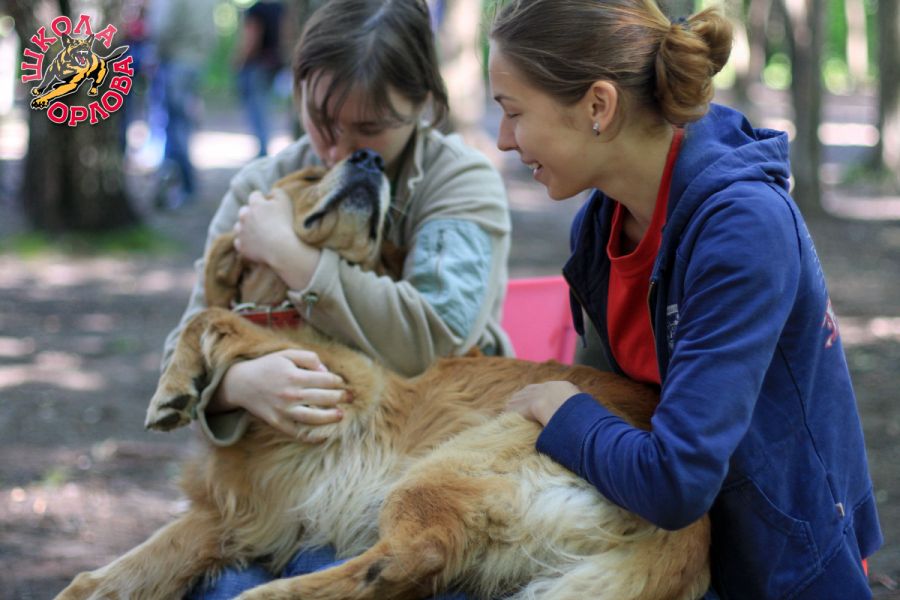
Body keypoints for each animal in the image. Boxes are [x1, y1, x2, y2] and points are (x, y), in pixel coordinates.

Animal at [55, 150, 711, 600]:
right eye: (308, 174)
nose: (368, 158)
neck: (285, 307)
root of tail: (697, 521)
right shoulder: (226, 516)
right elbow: (98, 580)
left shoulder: (353, 381)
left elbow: (213, 315)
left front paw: (170, 390)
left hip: (447, 465)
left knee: (400, 560)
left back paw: (269, 595)